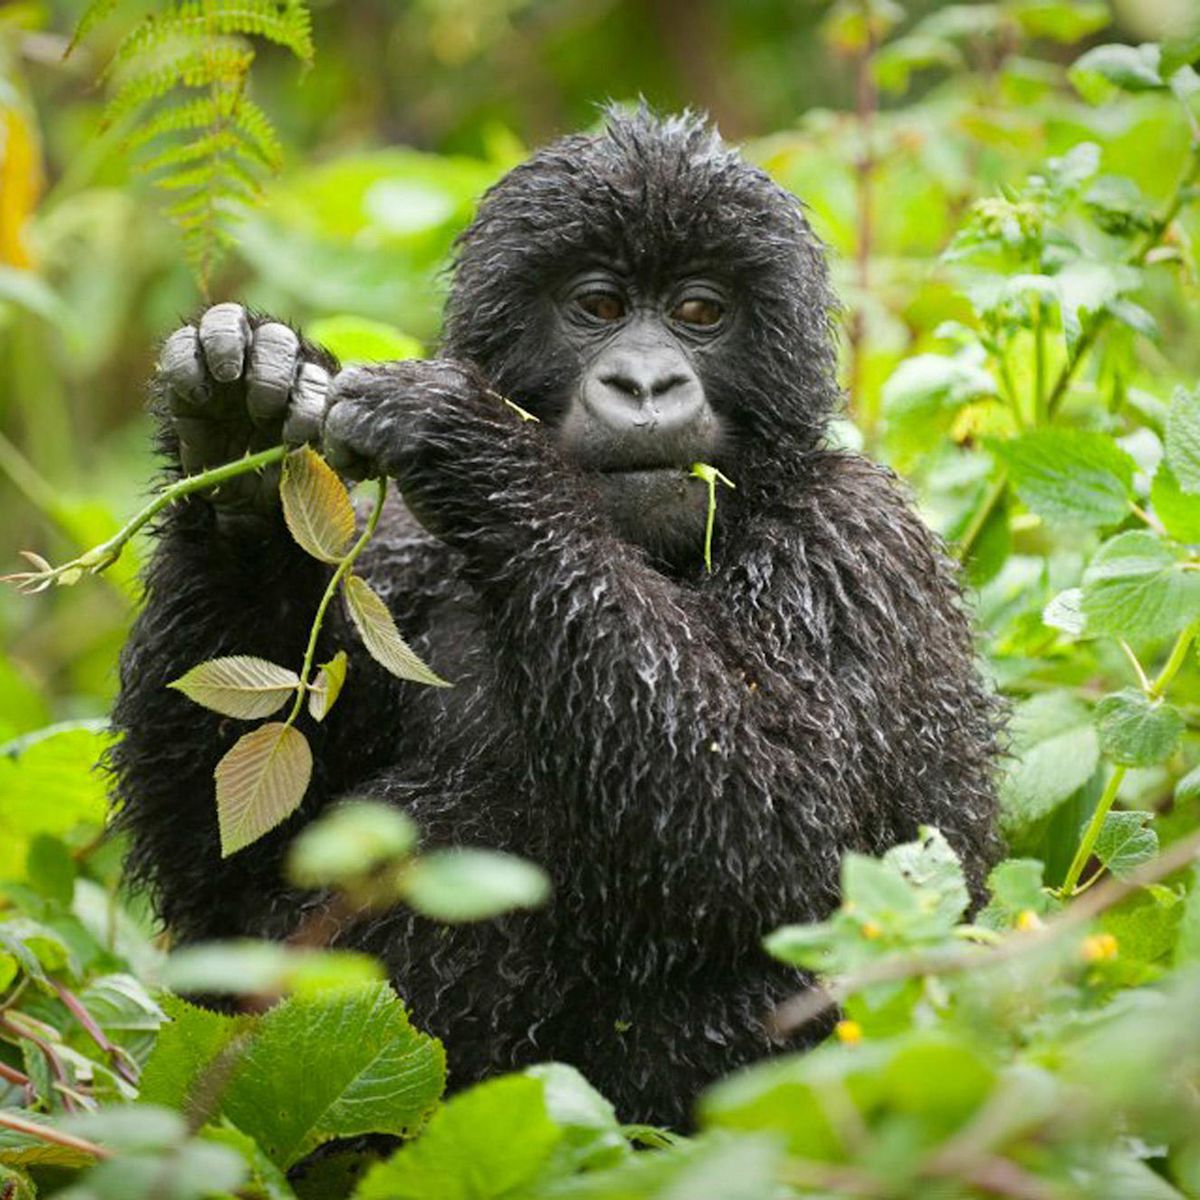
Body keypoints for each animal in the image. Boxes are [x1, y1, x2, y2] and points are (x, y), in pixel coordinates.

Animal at [112, 108, 998, 1128]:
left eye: (701, 313)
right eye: (599, 307)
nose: (646, 385)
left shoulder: (858, 547)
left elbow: (790, 836)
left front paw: (470, 438)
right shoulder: (399, 561)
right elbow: (225, 879)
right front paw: (242, 435)